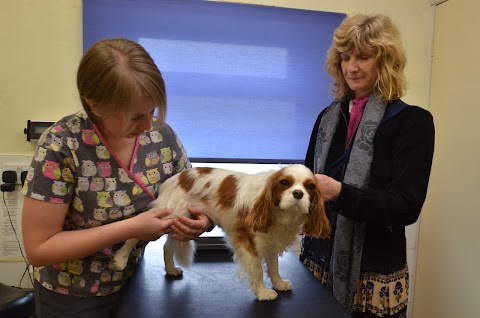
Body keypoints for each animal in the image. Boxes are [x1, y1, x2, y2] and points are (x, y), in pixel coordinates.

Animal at [112, 164, 330, 300]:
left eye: (310, 187)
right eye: (285, 183)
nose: (298, 194)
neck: (278, 211)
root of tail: (176, 177)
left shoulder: (270, 239)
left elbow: (274, 266)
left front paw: (278, 283)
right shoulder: (247, 240)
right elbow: (257, 269)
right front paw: (263, 293)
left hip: (180, 220)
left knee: (167, 246)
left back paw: (171, 269)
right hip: (167, 215)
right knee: (136, 233)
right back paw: (120, 258)